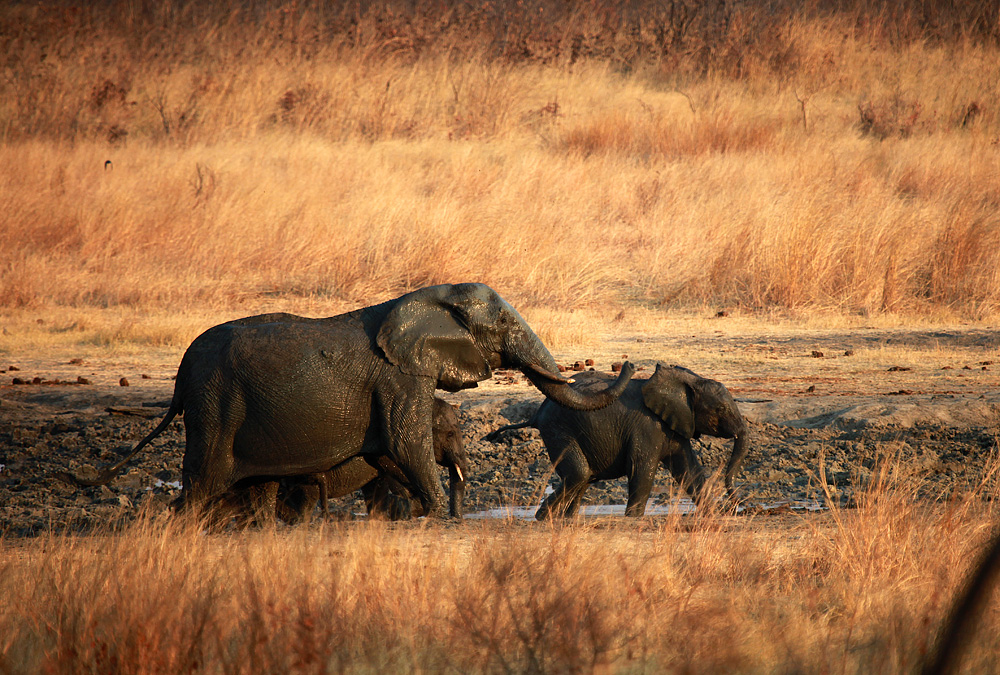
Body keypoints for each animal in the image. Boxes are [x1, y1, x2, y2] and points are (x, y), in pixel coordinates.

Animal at [64, 284, 632, 516]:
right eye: (503, 326)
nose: (627, 365)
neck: (423, 297)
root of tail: (180, 375)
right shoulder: (399, 377)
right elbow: (405, 445)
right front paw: (437, 516)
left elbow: (388, 455)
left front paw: (426, 516)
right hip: (215, 403)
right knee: (204, 482)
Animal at [484, 364, 752, 516]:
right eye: (720, 409)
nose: (740, 507)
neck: (686, 381)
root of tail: (538, 413)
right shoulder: (646, 427)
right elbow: (642, 471)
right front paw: (632, 519)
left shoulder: (676, 424)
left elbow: (690, 471)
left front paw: (714, 514)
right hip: (558, 430)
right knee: (579, 474)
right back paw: (543, 518)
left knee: (582, 479)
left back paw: (563, 521)